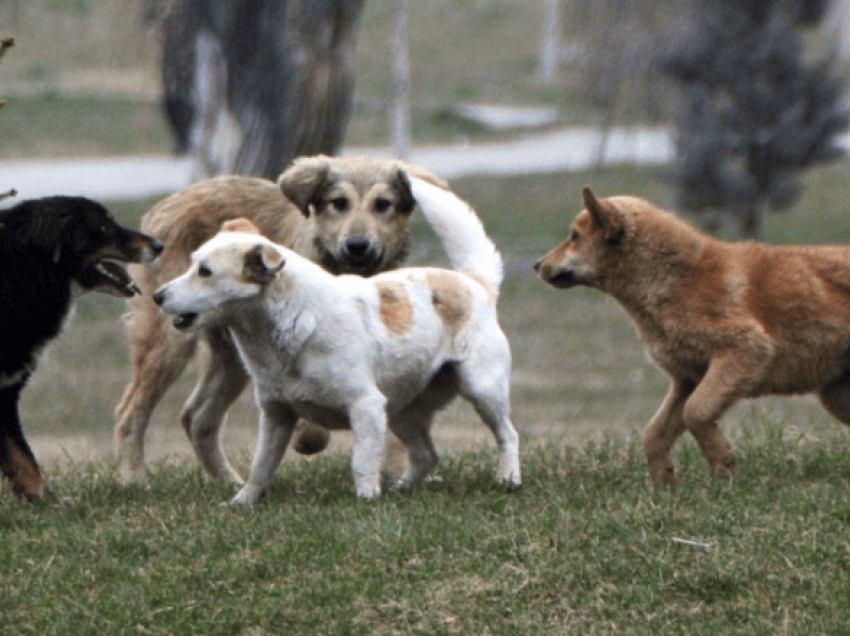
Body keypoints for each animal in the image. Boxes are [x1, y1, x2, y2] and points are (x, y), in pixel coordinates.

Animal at [0, 196, 162, 500]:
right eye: (104, 227)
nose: (159, 245)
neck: (22, 271)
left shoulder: (5, 391)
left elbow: (21, 455)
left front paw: (44, 500)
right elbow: (20, 452)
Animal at [115, 157, 448, 484]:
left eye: (383, 204)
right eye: (339, 202)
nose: (357, 245)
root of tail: (168, 203)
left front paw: (398, 473)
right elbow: (313, 419)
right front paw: (308, 437)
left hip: (231, 356)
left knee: (197, 418)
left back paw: (230, 482)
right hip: (169, 341)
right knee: (130, 411)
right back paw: (133, 479)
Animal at [155, 174, 520, 502]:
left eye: (205, 272)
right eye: (192, 264)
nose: (157, 296)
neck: (291, 325)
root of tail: (474, 282)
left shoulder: (366, 406)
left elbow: (361, 462)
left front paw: (366, 499)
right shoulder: (276, 415)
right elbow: (261, 466)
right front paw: (242, 501)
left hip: (481, 389)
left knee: (508, 435)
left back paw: (508, 478)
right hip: (402, 411)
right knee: (426, 454)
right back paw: (402, 489)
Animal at [536, 186, 850, 484]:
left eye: (574, 236)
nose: (536, 264)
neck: (675, 277)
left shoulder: (746, 348)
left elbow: (695, 413)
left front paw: (722, 465)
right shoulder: (688, 379)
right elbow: (654, 434)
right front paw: (664, 484)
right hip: (836, 397)